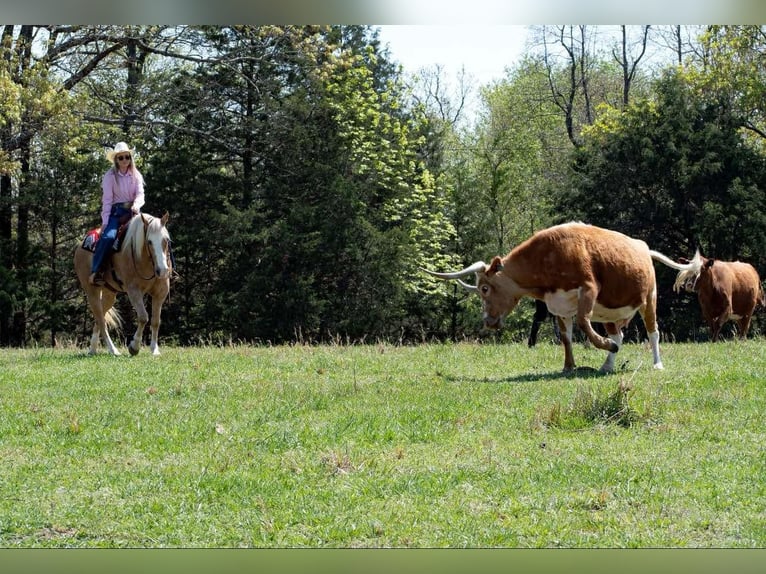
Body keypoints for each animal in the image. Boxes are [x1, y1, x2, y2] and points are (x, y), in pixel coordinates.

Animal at [74, 212, 172, 356]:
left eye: (166, 240)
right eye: (149, 242)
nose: (163, 270)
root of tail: (81, 246)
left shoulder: (160, 292)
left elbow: (155, 321)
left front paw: (154, 349)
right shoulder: (134, 291)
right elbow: (143, 317)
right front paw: (134, 346)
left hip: (109, 294)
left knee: (99, 318)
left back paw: (92, 349)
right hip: (92, 291)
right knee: (102, 321)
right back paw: (113, 350)